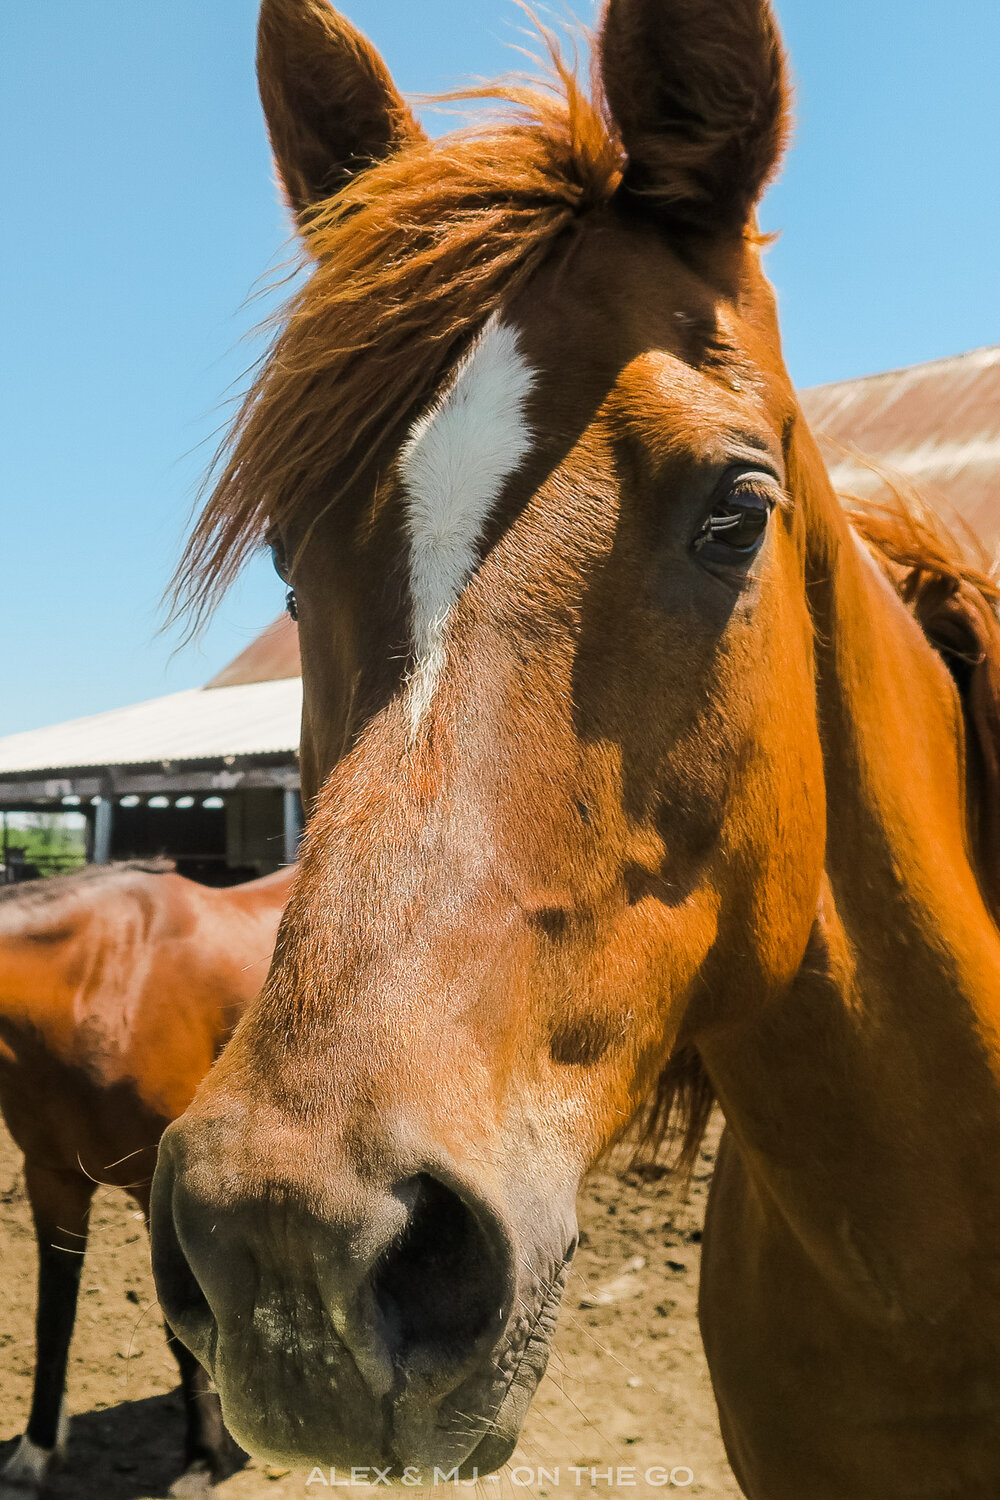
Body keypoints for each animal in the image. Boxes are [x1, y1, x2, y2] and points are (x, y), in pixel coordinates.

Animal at [0, 858, 295, 1500]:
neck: (94, 982)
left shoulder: (158, 1186)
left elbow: (178, 1326)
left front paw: (201, 1460)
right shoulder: (52, 1177)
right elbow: (52, 1317)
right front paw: (36, 1452)